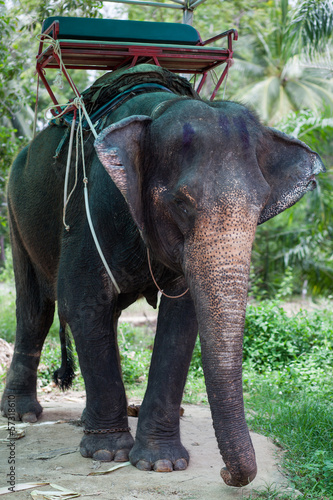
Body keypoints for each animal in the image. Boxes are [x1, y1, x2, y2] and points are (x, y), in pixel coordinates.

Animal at [0, 64, 324, 486]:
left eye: (261, 207)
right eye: (182, 203)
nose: (226, 473)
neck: (159, 109)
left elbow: (181, 319)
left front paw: (160, 463)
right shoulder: (92, 205)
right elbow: (83, 303)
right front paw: (108, 454)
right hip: (14, 207)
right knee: (36, 308)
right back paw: (22, 413)